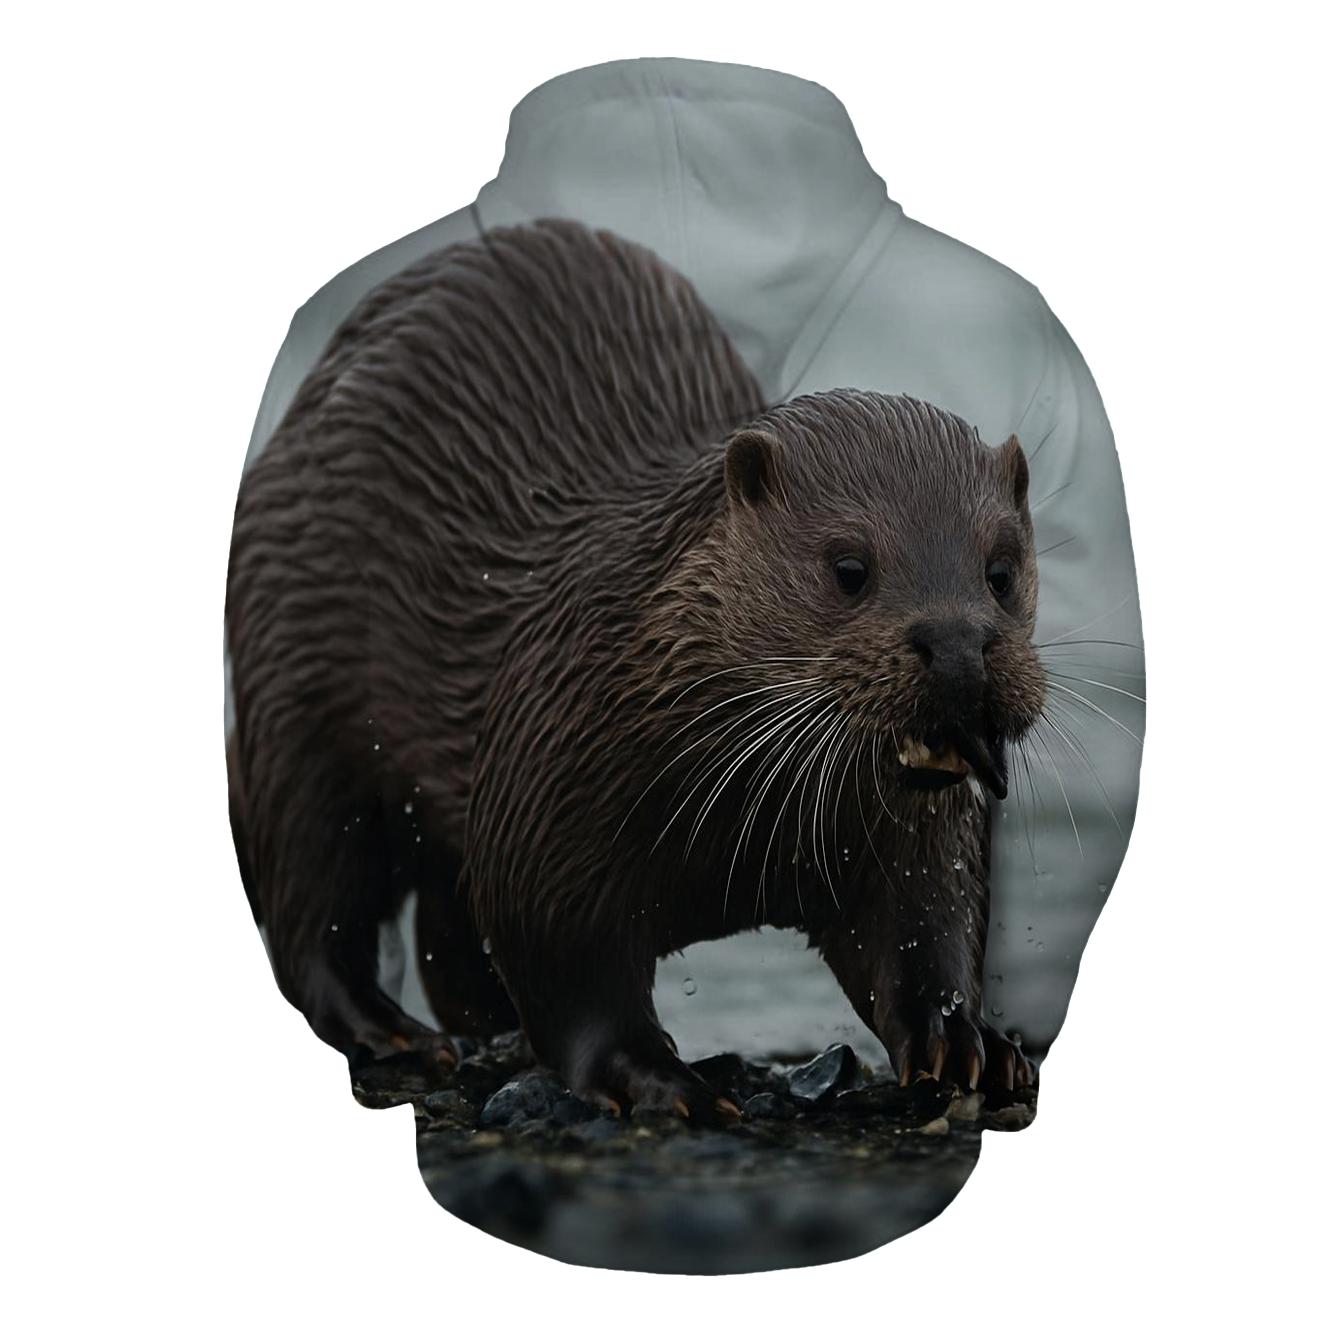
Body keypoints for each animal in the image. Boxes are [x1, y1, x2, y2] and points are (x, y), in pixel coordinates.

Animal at [227, 218, 1044, 1121]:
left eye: (999, 569)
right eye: (848, 567)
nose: (958, 645)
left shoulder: (914, 841)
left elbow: (924, 926)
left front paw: (964, 1040)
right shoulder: (543, 785)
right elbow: (564, 961)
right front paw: (656, 1077)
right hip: (290, 681)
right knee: (313, 900)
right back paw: (391, 1031)